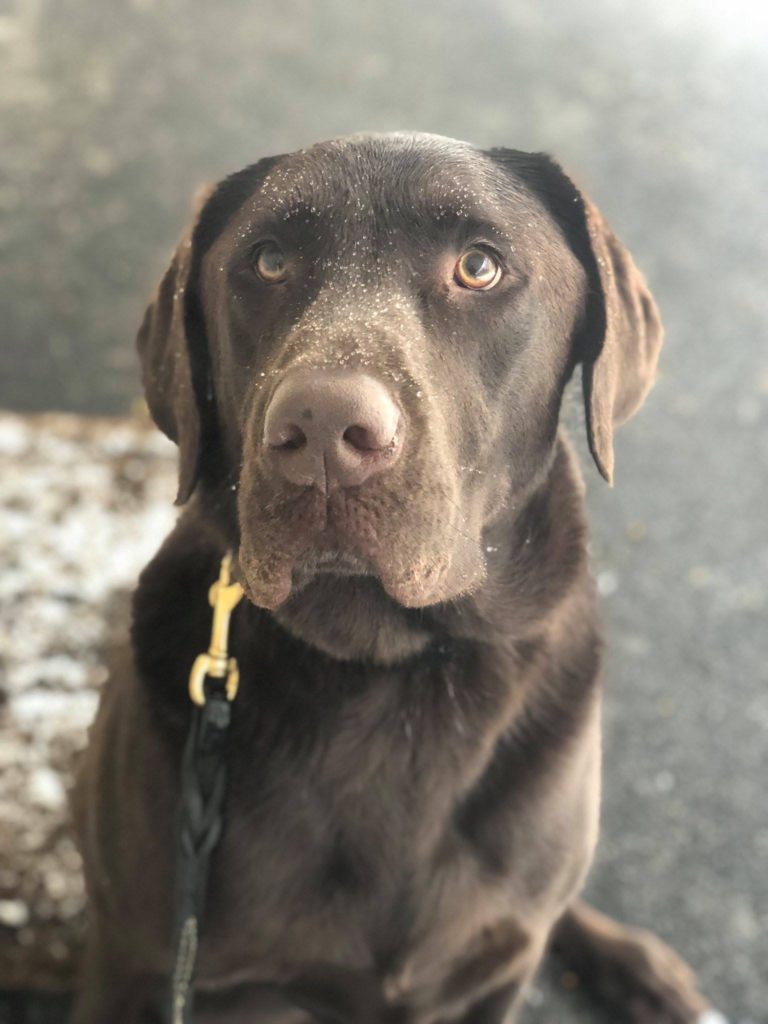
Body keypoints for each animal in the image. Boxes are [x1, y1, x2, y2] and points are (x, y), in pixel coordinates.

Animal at [72, 132, 714, 1023]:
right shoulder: (134, 967)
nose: (322, 429)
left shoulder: (492, 980)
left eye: (478, 267)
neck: (391, 669)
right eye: (268, 261)